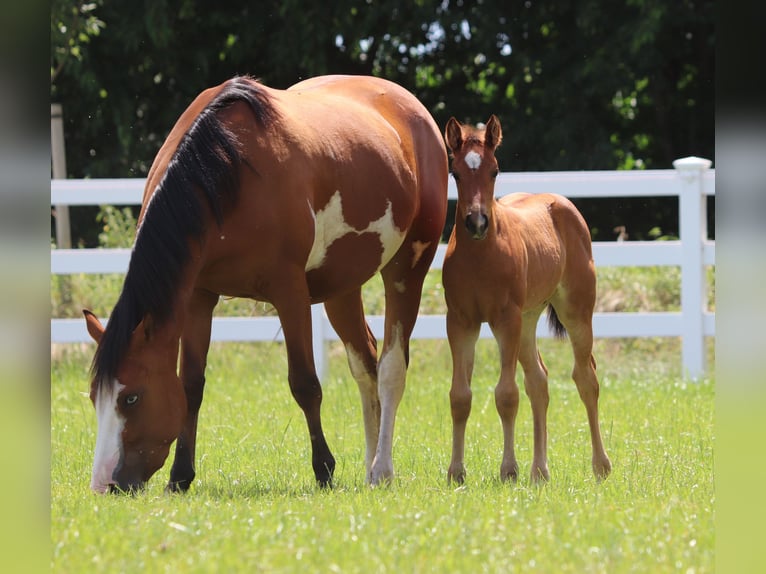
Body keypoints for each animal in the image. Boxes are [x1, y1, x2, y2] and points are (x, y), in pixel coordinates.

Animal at [83, 75, 448, 493]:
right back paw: (370, 466)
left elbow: (305, 383)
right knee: (365, 363)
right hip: (342, 287)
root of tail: (414, 110)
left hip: (408, 268)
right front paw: (180, 476)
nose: (105, 484)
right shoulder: (198, 296)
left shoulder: (290, 293)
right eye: (93, 397)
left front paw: (324, 470)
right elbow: (191, 385)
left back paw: (383, 467)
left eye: (131, 398)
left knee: (390, 368)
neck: (223, 171)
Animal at [442, 115, 612, 484]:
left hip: (575, 313)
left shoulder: (505, 319)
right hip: (528, 319)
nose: (477, 222)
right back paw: (540, 471)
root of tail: (562, 203)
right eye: (455, 173)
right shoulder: (461, 321)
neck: (482, 256)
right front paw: (456, 472)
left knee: (586, 378)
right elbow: (460, 396)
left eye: (494, 170)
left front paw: (508, 470)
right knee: (539, 381)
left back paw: (600, 466)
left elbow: (506, 395)